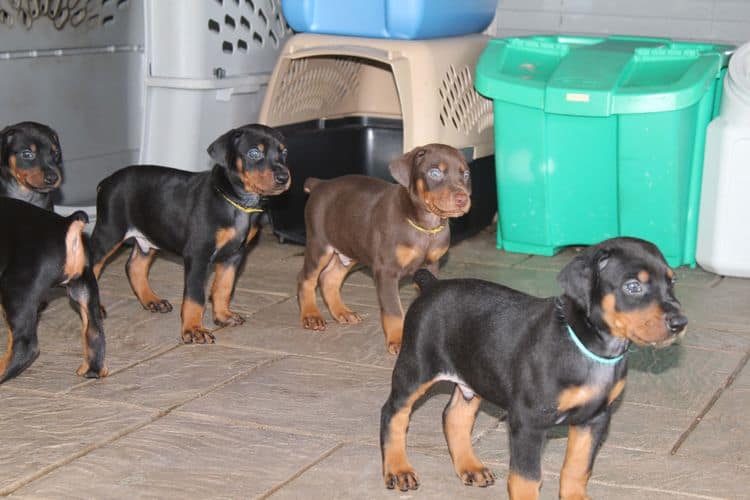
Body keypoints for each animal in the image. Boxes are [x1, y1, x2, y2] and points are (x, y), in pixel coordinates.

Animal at [0, 197, 108, 380]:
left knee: (24, 345)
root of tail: (66, 223)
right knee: (94, 331)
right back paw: (93, 370)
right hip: (84, 289)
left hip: (15, 289)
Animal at [89, 124, 292, 344]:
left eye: (284, 153)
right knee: (91, 267)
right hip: (109, 232)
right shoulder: (198, 255)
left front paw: (223, 316)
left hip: (149, 236)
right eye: (254, 153)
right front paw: (194, 329)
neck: (236, 202)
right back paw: (95, 307)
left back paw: (152, 300)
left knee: (134, 266)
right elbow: (195, 297)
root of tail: (106, 181)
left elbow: (224, 287)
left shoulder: (234, 255)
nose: (284, 177)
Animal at [298, 144, 470, 356]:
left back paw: (342, 312)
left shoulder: (430, 266)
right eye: (435, 173)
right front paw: (398, 340)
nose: (463, 199)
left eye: (466, 174)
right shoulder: (386, 270)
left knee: (329, 279)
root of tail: (320, 184)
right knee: (306, 279)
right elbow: (393, 310)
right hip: (319, 245)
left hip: (349, 248)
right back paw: (311, 315)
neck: (425, 227)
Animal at [384, 236, 692, 498]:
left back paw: (470, 467)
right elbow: (527, 478)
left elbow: (578, 468)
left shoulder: (594, 419)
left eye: (672, 282)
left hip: (475, 376)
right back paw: (398, 470)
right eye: (633, 286)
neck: (589, 348)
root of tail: (432, 284)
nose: (680, 323)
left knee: (454, 417)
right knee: (393, 413)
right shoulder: (528, 421)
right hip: (415, 368)